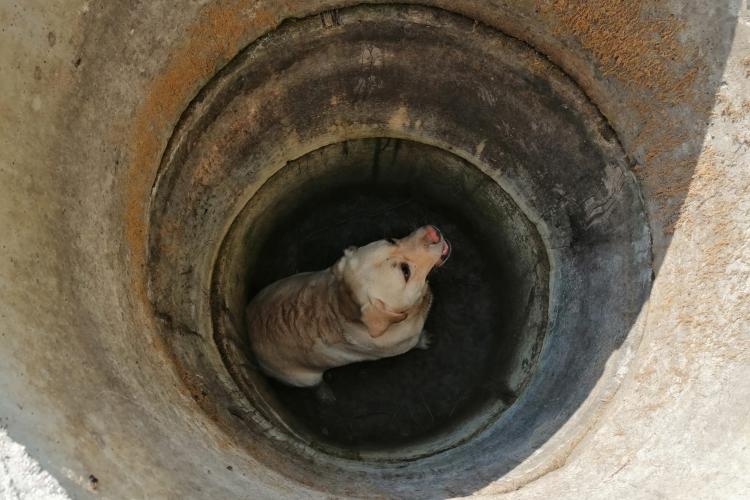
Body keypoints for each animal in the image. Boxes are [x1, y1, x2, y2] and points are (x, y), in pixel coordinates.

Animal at [248, 226, 452, 394]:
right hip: (304, 378)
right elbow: (417, 340)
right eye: (405, 271)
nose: (432, 232)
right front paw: (425, 340)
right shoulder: (405, 343)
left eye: (391, 240)